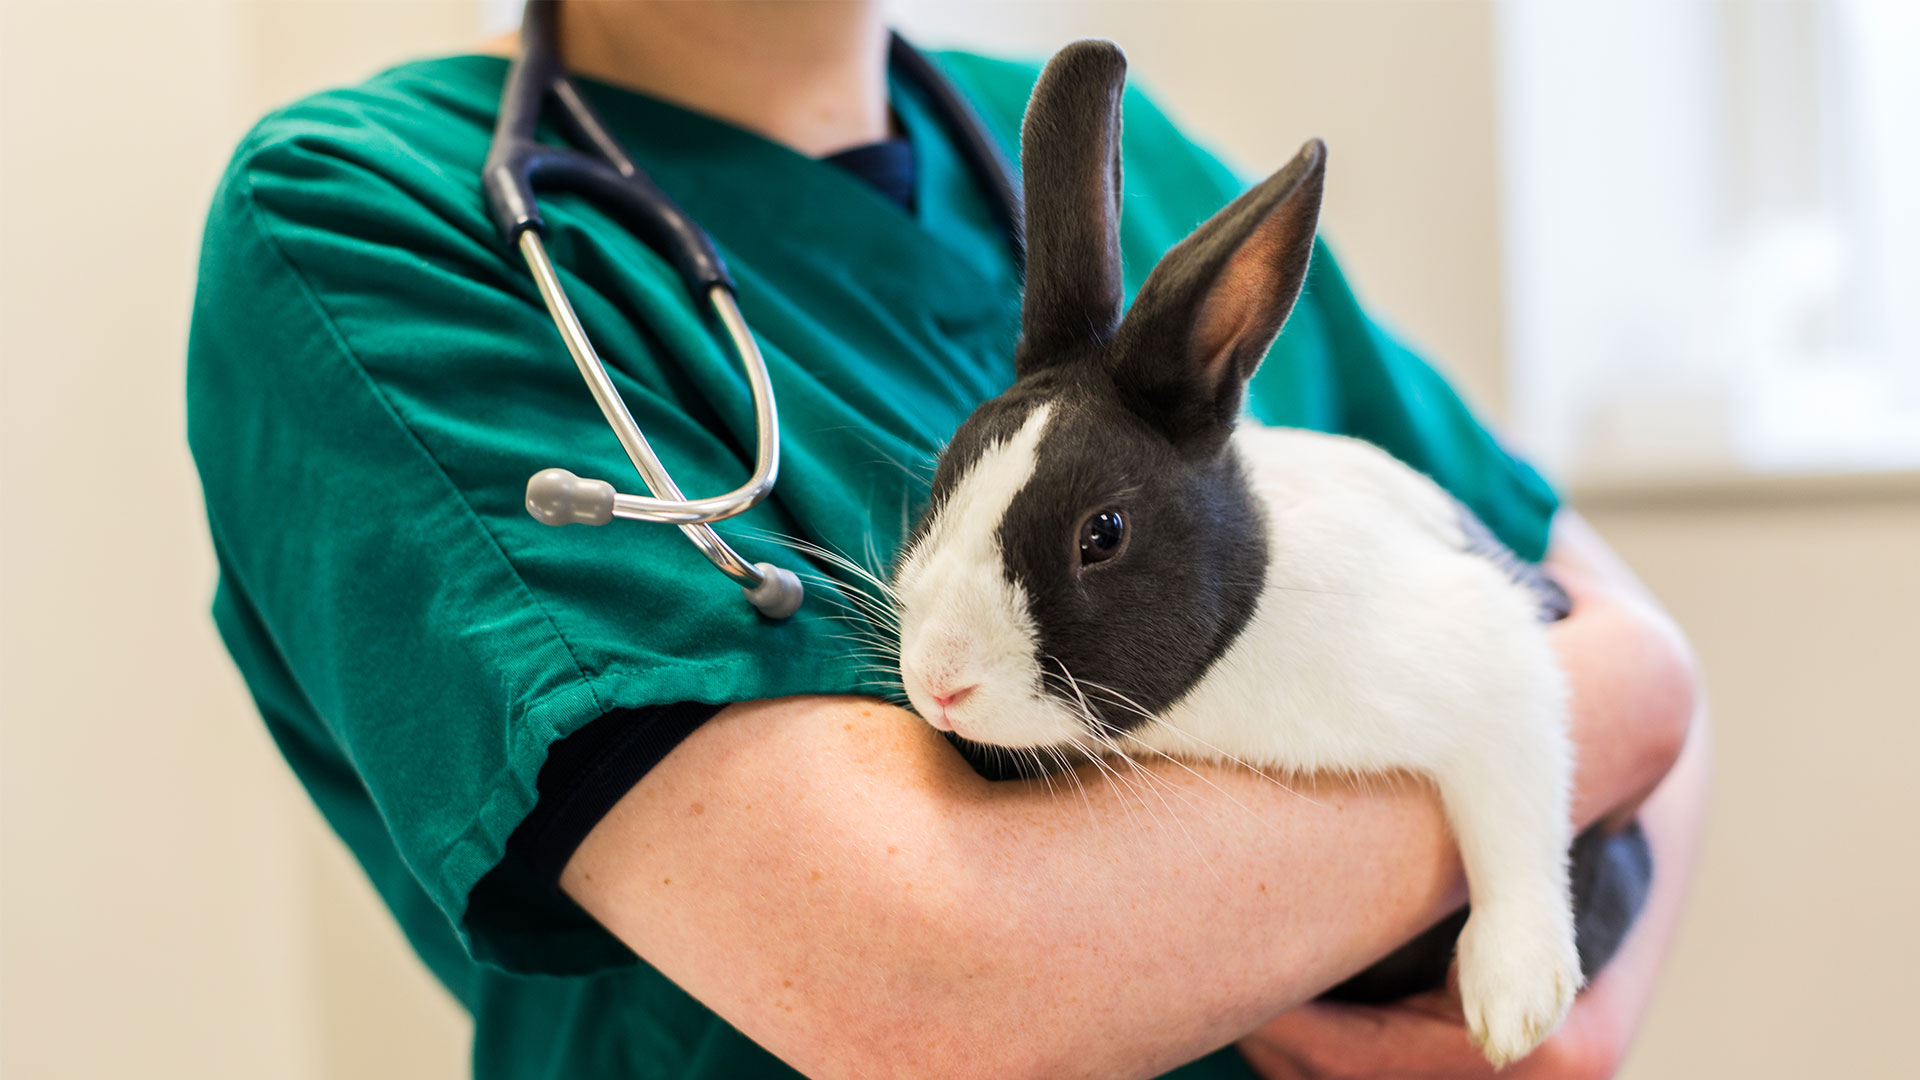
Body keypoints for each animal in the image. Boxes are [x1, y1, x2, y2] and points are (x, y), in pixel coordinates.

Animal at [890, 40, 1581, 1067]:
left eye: (1103, 534)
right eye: (943, 480)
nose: (940, 683)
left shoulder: (1496, 656)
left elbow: (1515, 811)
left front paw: (1515, 1004)